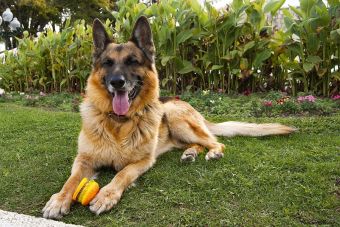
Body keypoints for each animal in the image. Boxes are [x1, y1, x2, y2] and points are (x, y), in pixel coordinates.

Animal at [42, 15, 294, 218]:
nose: (117, 82)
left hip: (175, 117)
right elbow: (72, 180)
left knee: (215, 142)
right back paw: (190, 153)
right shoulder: (84, 159)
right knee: (198, 143)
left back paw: (211, 152)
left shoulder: (142, 161)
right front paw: (58, 200)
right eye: (108, 63)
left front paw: (106, 195)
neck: (118, 123)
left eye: (132, 62)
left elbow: (122, 174)